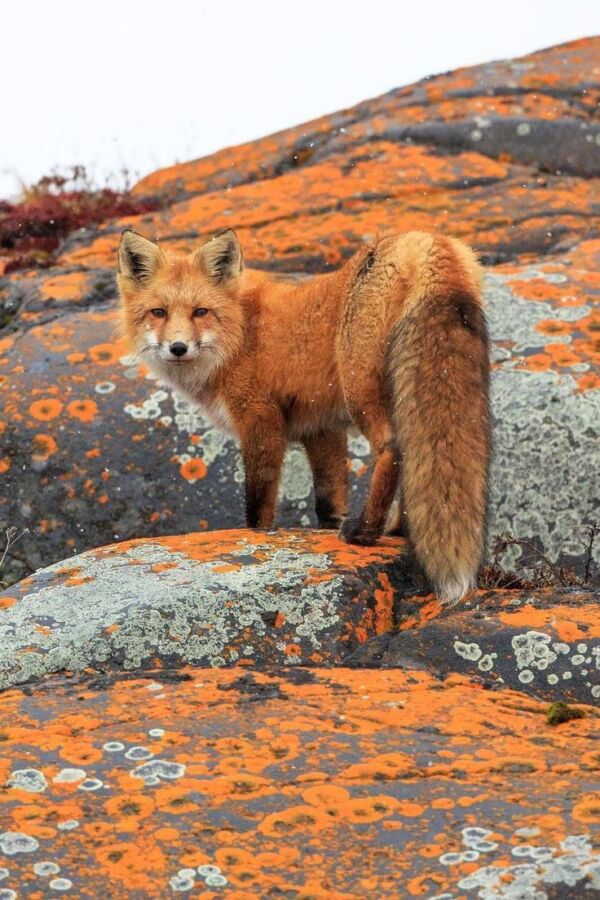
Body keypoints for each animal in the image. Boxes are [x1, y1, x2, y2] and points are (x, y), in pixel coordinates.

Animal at [117, 227, 491, 603]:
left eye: (201, 312)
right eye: (158, 312)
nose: (178, 348)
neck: (240, 336)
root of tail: (423, 238)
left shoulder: (261, 420)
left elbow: (259, 506)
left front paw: (258, 537)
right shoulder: (322, 430)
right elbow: (328, 501)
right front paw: (327, 533)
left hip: (359, 388)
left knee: (392, 448)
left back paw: (365, 531)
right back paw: (398, 530)